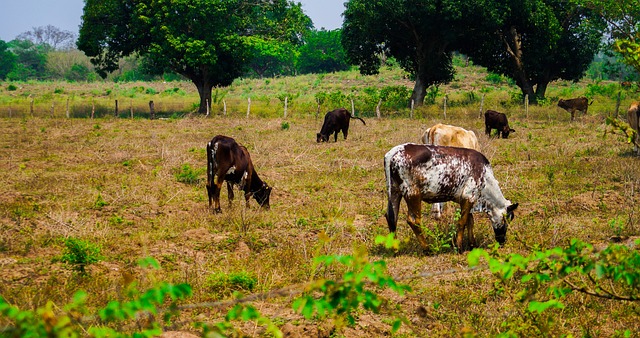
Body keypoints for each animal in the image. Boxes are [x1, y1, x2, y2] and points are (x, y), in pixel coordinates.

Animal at [384, 143, 516, 254]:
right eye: (507, 219)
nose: (502, 241)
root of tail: (395, 151)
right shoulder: (469, 196)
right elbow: (462, 222)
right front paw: (459, 247)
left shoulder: (466, 200)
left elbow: (470, 221)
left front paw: (472, 245)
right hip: (413, 194)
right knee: (413, 221)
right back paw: (427, 249)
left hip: (394, 191)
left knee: (392, 217)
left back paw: (395, 249)